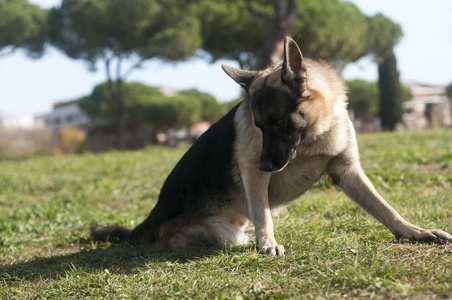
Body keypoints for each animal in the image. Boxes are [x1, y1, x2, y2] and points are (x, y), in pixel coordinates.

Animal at [92, 36, 452, 254]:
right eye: (258, 125)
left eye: (277, 122)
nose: (266, 164)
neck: (314, 136)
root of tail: (149, 221)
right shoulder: (253, 172)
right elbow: (263, 213)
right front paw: (268, 243)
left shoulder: (347, 172)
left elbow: (385, 208)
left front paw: (413, 232)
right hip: (225, 232)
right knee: (237, 235)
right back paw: (251, 239)